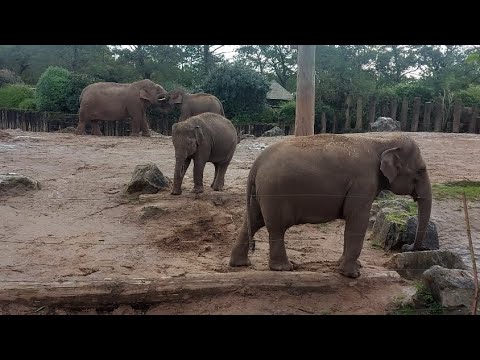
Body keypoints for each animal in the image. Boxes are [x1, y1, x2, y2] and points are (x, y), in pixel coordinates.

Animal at [228, 134, 432, 278]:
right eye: (421, 170)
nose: (406, 247)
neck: (382, 142)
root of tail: (256, 163)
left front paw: (348, 266)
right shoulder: (363, 183)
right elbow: (357, 220)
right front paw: (353, 274)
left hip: (259, 193)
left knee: (253, 221)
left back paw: (240, 264)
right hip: (274, 193)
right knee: (275, 227)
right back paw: (285, 268)